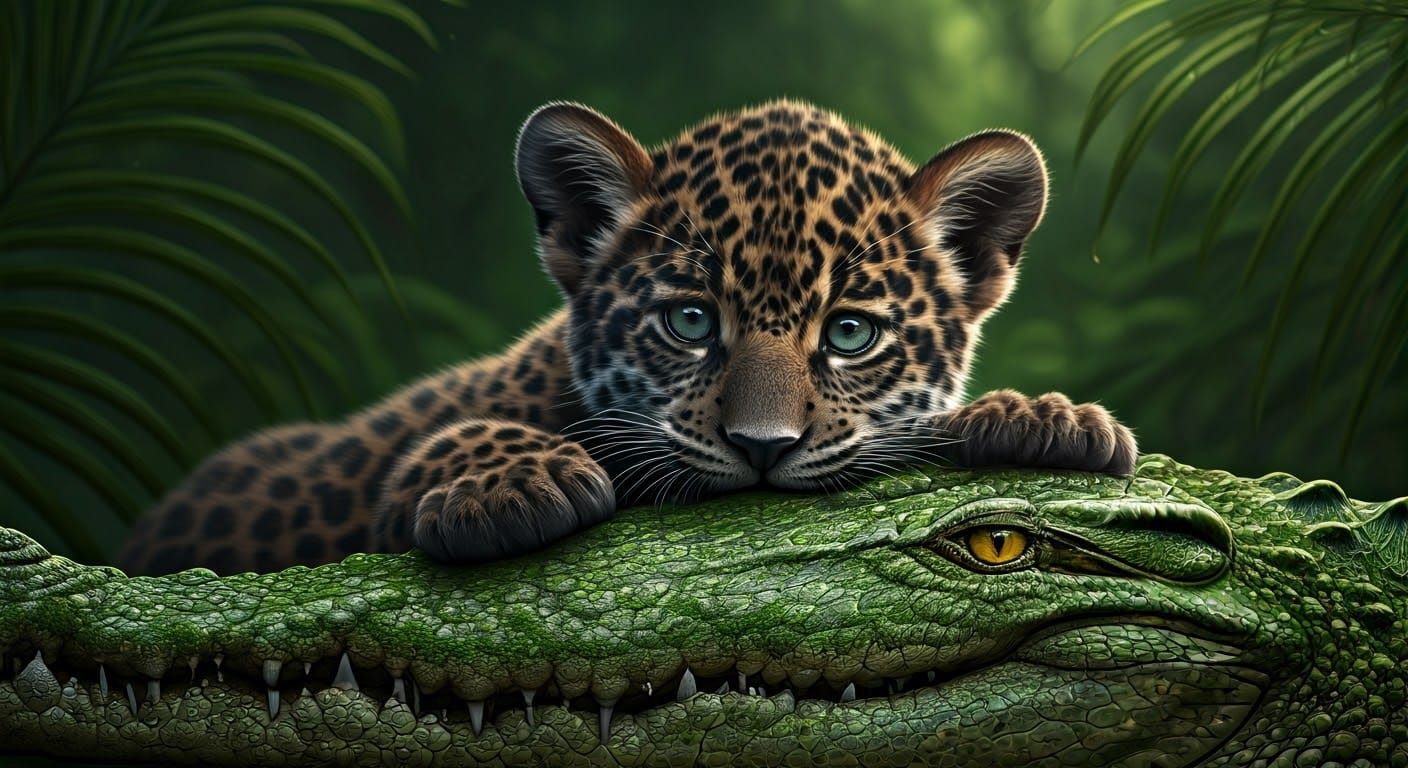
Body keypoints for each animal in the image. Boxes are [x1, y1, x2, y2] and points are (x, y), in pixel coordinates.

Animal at [119, 100, 1137, 575]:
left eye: (849, 334)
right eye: (688, 322)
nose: (762, 448)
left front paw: (1044, 417)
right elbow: (434, 446)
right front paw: (511, 486)